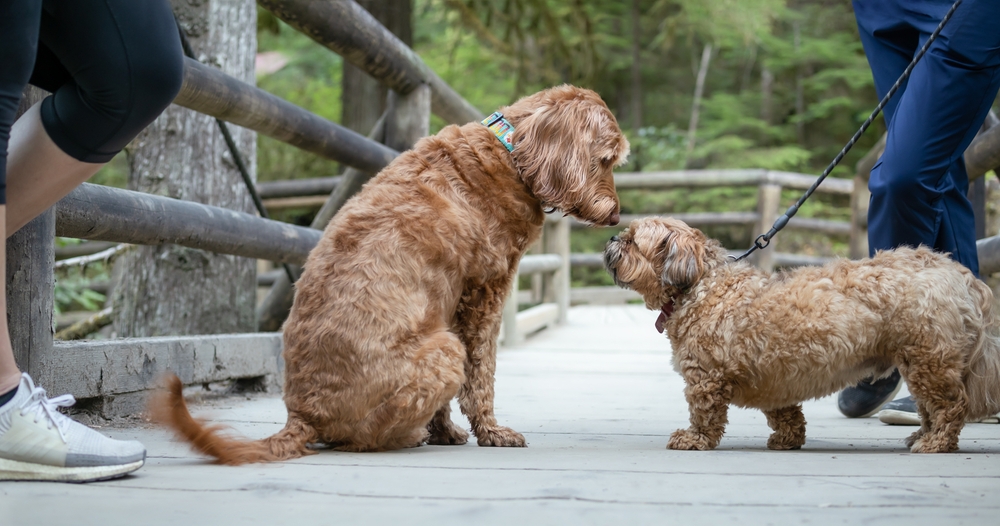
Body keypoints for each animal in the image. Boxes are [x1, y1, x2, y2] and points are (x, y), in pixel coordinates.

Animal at [152, 84, 628, 464]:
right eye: (605, 159)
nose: (615, 216)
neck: (510, 152)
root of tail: (303, 415)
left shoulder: (448, 304)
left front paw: (446, 433)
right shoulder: (483, 295)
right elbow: (481, 376)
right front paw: (492, 433)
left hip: (439, 340)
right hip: (444, 350)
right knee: (365, 440)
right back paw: (409, 437)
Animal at [600, 217, 1000, 456]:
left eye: (633, 241)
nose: (612, 237)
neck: (701, 283)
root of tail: (959, 274)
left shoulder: (705, 378)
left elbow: (705, 414)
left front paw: (694, 439)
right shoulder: (773, 376)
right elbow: (785, 414)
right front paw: (788, 439)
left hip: (927, 360)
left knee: (950, 407)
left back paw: (936, 442)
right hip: (922, 363)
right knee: (931, 407)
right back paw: (922, 435)